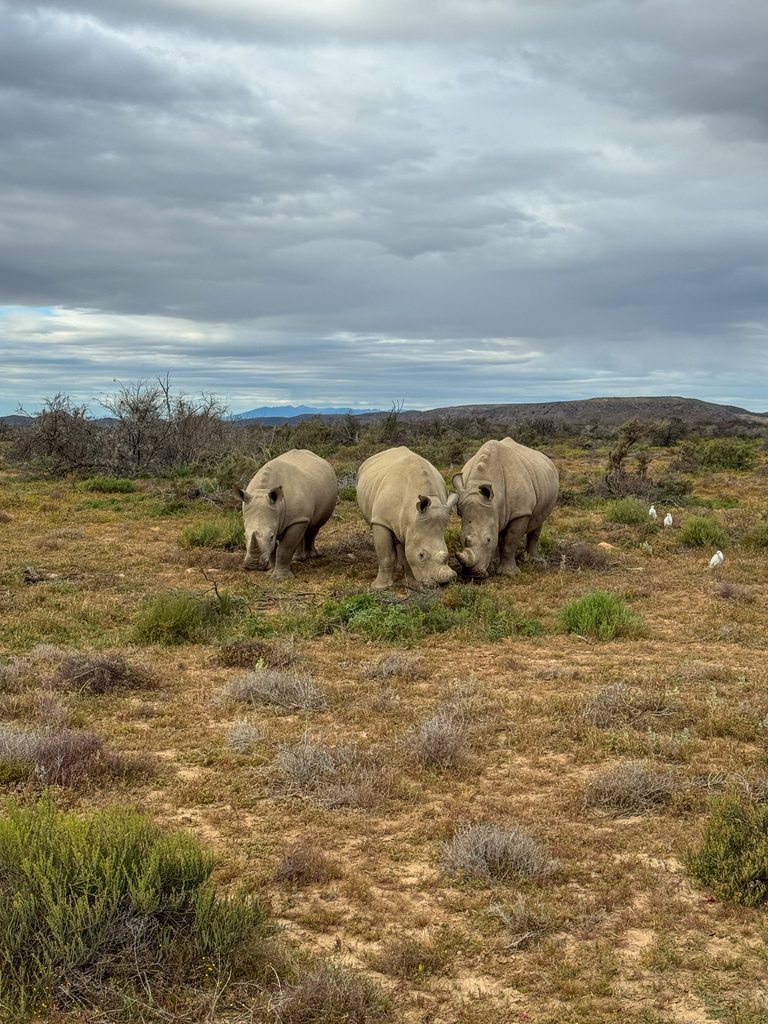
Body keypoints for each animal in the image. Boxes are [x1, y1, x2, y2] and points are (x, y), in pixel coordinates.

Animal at [235, 449, 337, 578]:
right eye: (245, 536)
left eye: (271, 536)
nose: (254, 565)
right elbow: (273, 550)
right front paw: (270, 573)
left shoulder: (296, 519)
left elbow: (285, 548)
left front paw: (281, 578)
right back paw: (297, 559)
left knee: (314, 526)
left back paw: (311, 556)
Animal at [357, 446, 458, 590]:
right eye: (421, 555)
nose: (444, 581)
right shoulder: (381, 520)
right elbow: (385, 555)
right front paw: (379, 587)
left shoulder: (412, 524)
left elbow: (408, 554)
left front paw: (412, 584)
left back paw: (400, 567)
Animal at [452, 437, 559, 579]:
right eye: (461, 539)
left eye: (487, 540)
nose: (472, 574)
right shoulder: (491, 511)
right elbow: (497, 538)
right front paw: (492, 570)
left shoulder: (521, 512)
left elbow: (510, 542)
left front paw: (509, 574)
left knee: (539, 520)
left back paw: (534, 561)